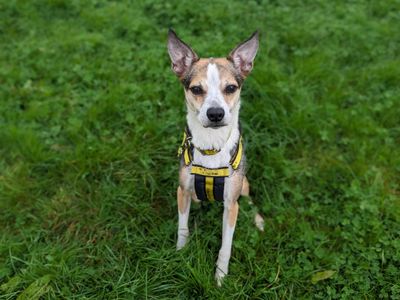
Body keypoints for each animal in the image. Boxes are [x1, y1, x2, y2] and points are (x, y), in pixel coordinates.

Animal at [168, 30, 264, 286]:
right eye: (196, 89)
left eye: (230, 88)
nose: (215, 114)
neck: (211, 146)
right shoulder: (182, 190)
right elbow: (182, 228)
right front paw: (180, 254)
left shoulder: (231, 204)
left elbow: (226, 245)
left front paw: (220, 276)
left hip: (244, 184)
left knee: (249, 199)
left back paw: (258, 220)